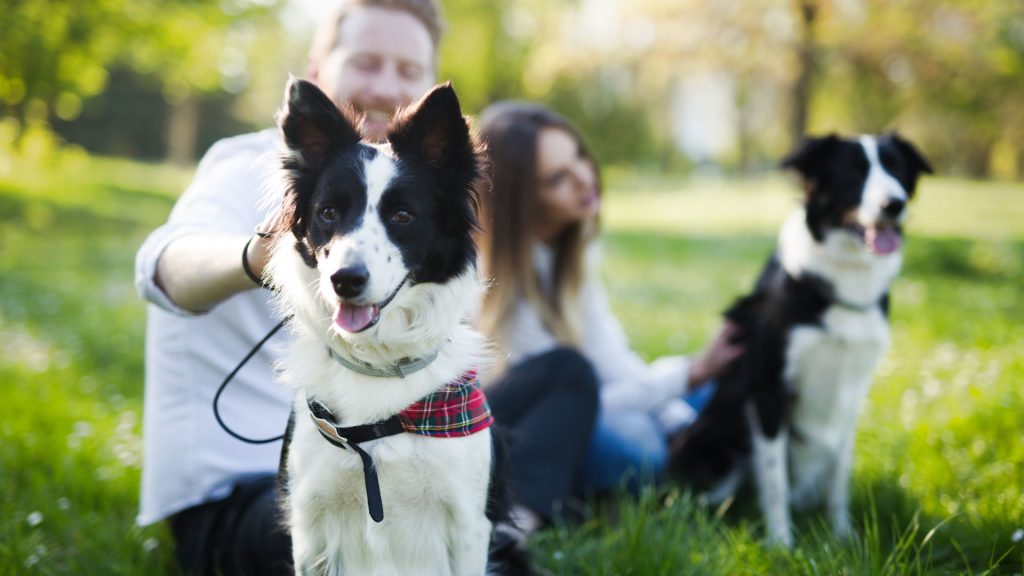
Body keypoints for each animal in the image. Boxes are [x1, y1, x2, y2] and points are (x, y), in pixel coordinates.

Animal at [266, 77, 528, 573]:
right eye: (328, 212)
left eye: (403, 216)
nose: (345, 280)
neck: (380, 366)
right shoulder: (310, 526)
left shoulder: (469, 526)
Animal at [667, 132, 933, 545]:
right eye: (853, 172)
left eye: (896, 169)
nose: (894, 204)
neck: (847, 281)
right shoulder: (768, 388)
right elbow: (775, 479)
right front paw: (781, 544)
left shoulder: (851, 394)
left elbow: (839, 478)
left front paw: (842, 535)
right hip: (711, 445)